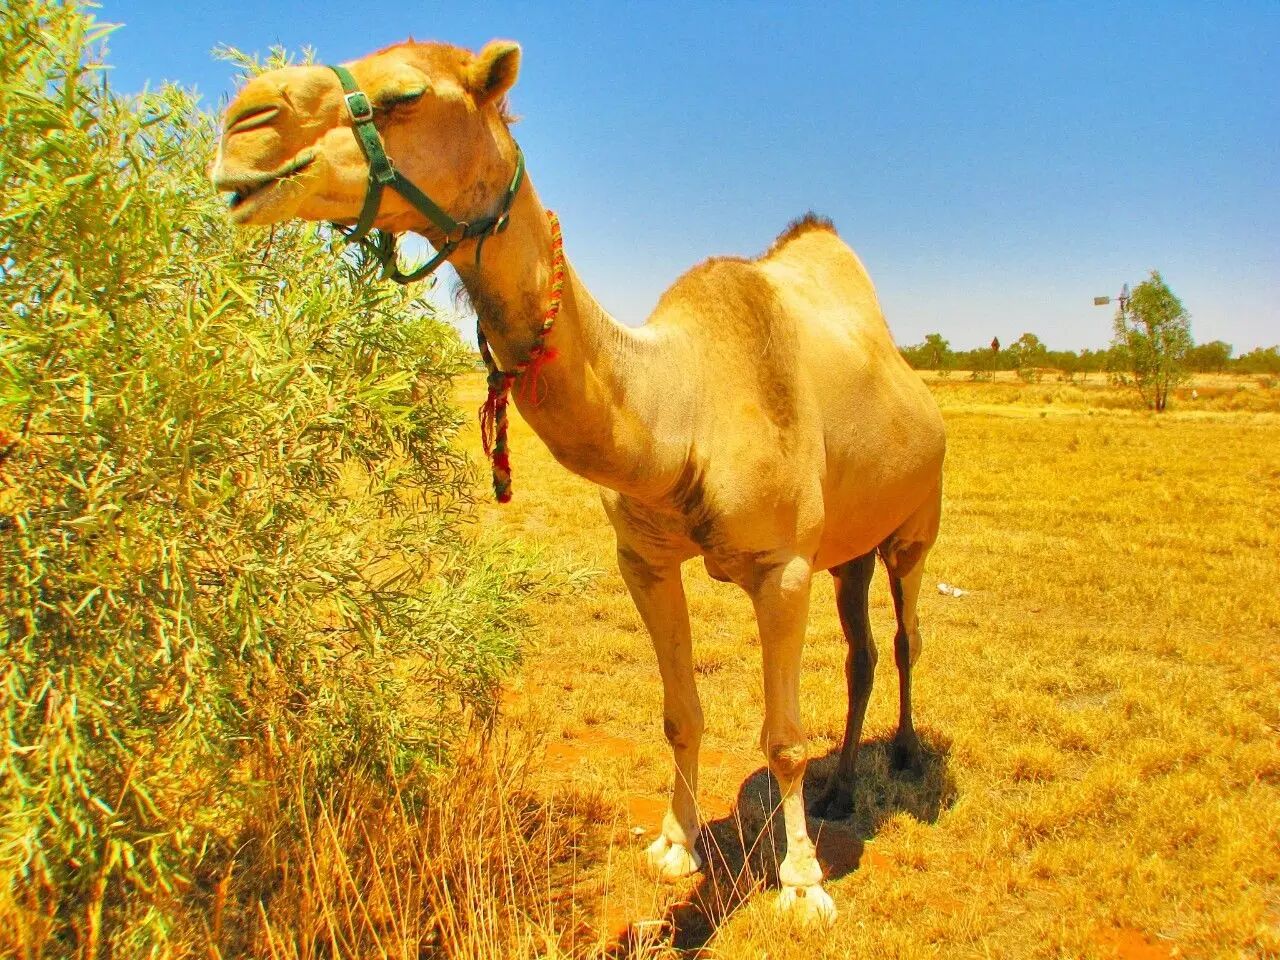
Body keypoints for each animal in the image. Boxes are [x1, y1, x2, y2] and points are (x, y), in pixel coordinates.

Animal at [210, 38, 946, 923]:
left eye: (407, 94)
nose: (244, 123)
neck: (683, 407)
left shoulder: (783, 566)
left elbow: (781, 739)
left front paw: (801, 883)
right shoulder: (644, 558)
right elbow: (679, 715)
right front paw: (674, 845)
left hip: (915, 523)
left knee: (903, 637)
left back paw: (902, 755)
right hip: (849, 551)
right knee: (862, 650)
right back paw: (841, 789)